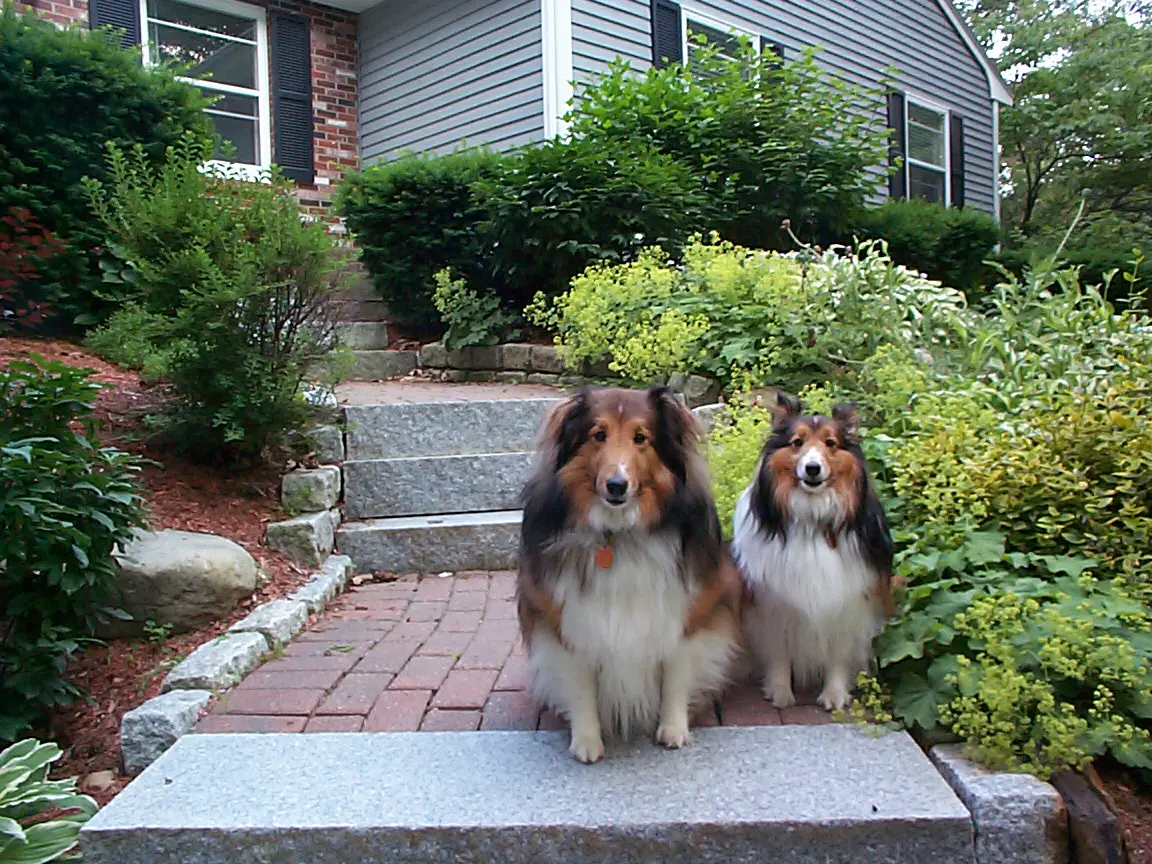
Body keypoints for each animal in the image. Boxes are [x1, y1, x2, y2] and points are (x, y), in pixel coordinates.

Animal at [518, 387, 741, 764]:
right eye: (599, 435)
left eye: (641, 438)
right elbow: (581, 684)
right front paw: (587, 741)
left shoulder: (686, 612)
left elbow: (676, 674)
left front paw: (673, 729)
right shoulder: (567, 619)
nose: (616, 486)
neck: (618, 535)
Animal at [728, 396, 889, 714]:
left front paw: (835, 695)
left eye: (831, 443)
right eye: (797, 442)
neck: (812, 519)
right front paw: (779, 692)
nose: (812, 468)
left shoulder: (847, 601)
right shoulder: (772, 602)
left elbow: (838, 653)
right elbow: (778, 651)